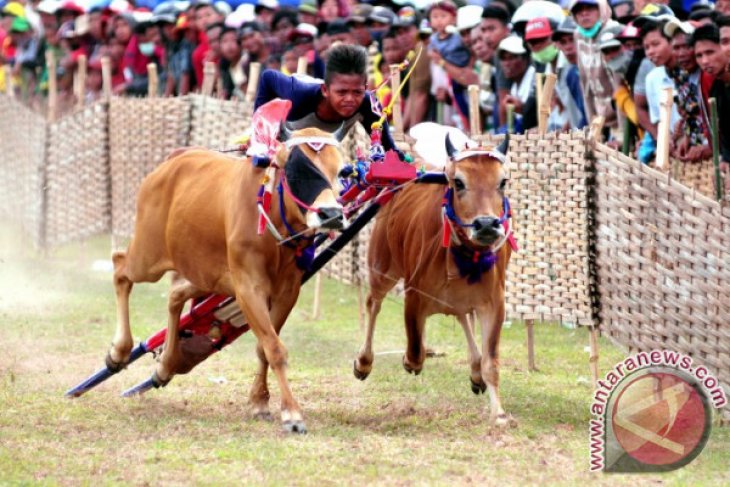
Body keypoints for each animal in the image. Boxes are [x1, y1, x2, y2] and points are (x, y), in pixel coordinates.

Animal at [106, 127, 346, 434]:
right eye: (297, 170)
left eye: (341, 170)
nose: (332, 215)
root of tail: (174, 160)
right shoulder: (248, 289)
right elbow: (275, 348)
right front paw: (292, 414)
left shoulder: (287, 292)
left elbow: (265, 346)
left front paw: (259, 401)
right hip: (148, 257)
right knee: (120, 267)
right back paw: (119, 351)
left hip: (205, 274)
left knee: (175, 294)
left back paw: (165, 366)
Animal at [352, 133, 512, 428]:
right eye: (457, 182)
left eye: (503, 181)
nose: (486, 224)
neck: (467, 254)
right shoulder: (414, 296)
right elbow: (415, 351)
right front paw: (407, 359)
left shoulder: (495, 304)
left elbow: (491, 361)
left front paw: (498, 413)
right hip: (382, 267)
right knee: (373, 304)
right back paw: (363, 362)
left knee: (462, 317)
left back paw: (474, 371)